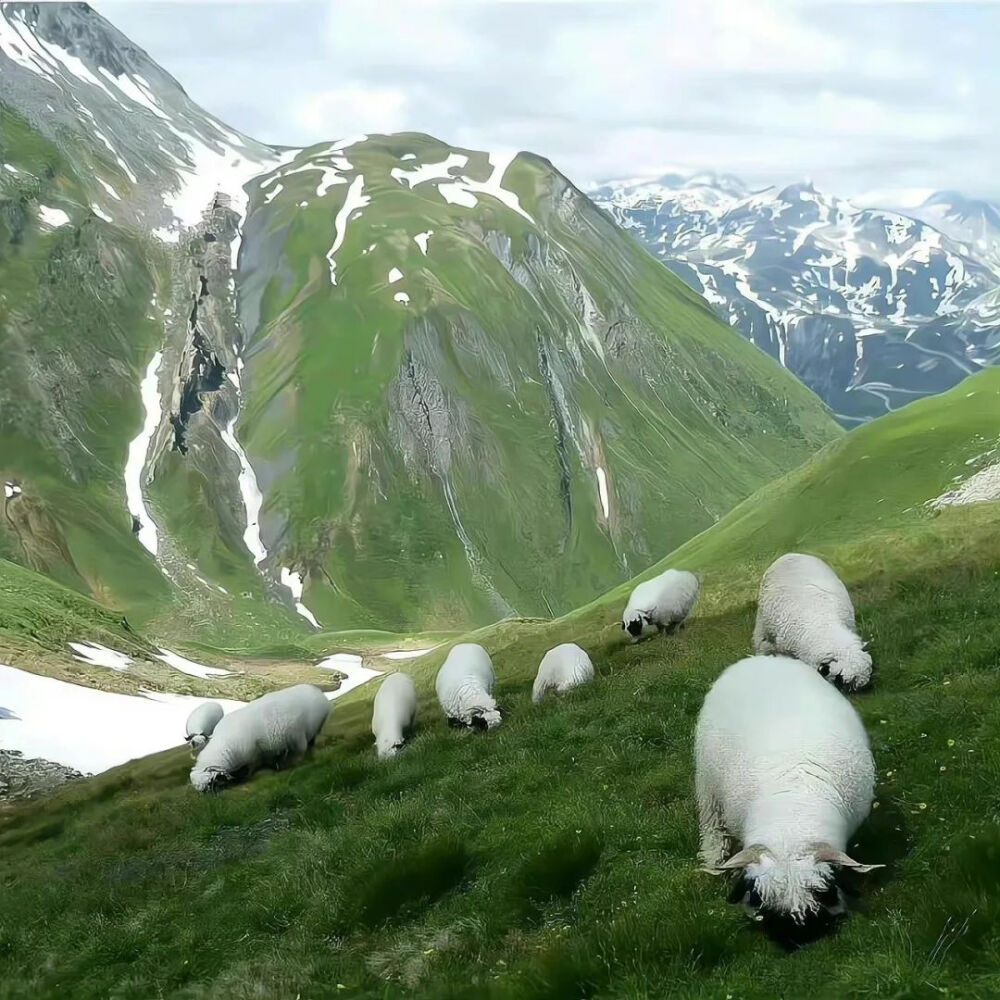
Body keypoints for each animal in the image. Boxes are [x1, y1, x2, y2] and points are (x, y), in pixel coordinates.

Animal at [188, 684, 328, 792]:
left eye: (211, 783)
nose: (210, 798)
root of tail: (316, 690)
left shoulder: (251, 755)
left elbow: (249, 770)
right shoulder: (267, 749)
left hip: (299, 736)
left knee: (303, 749)